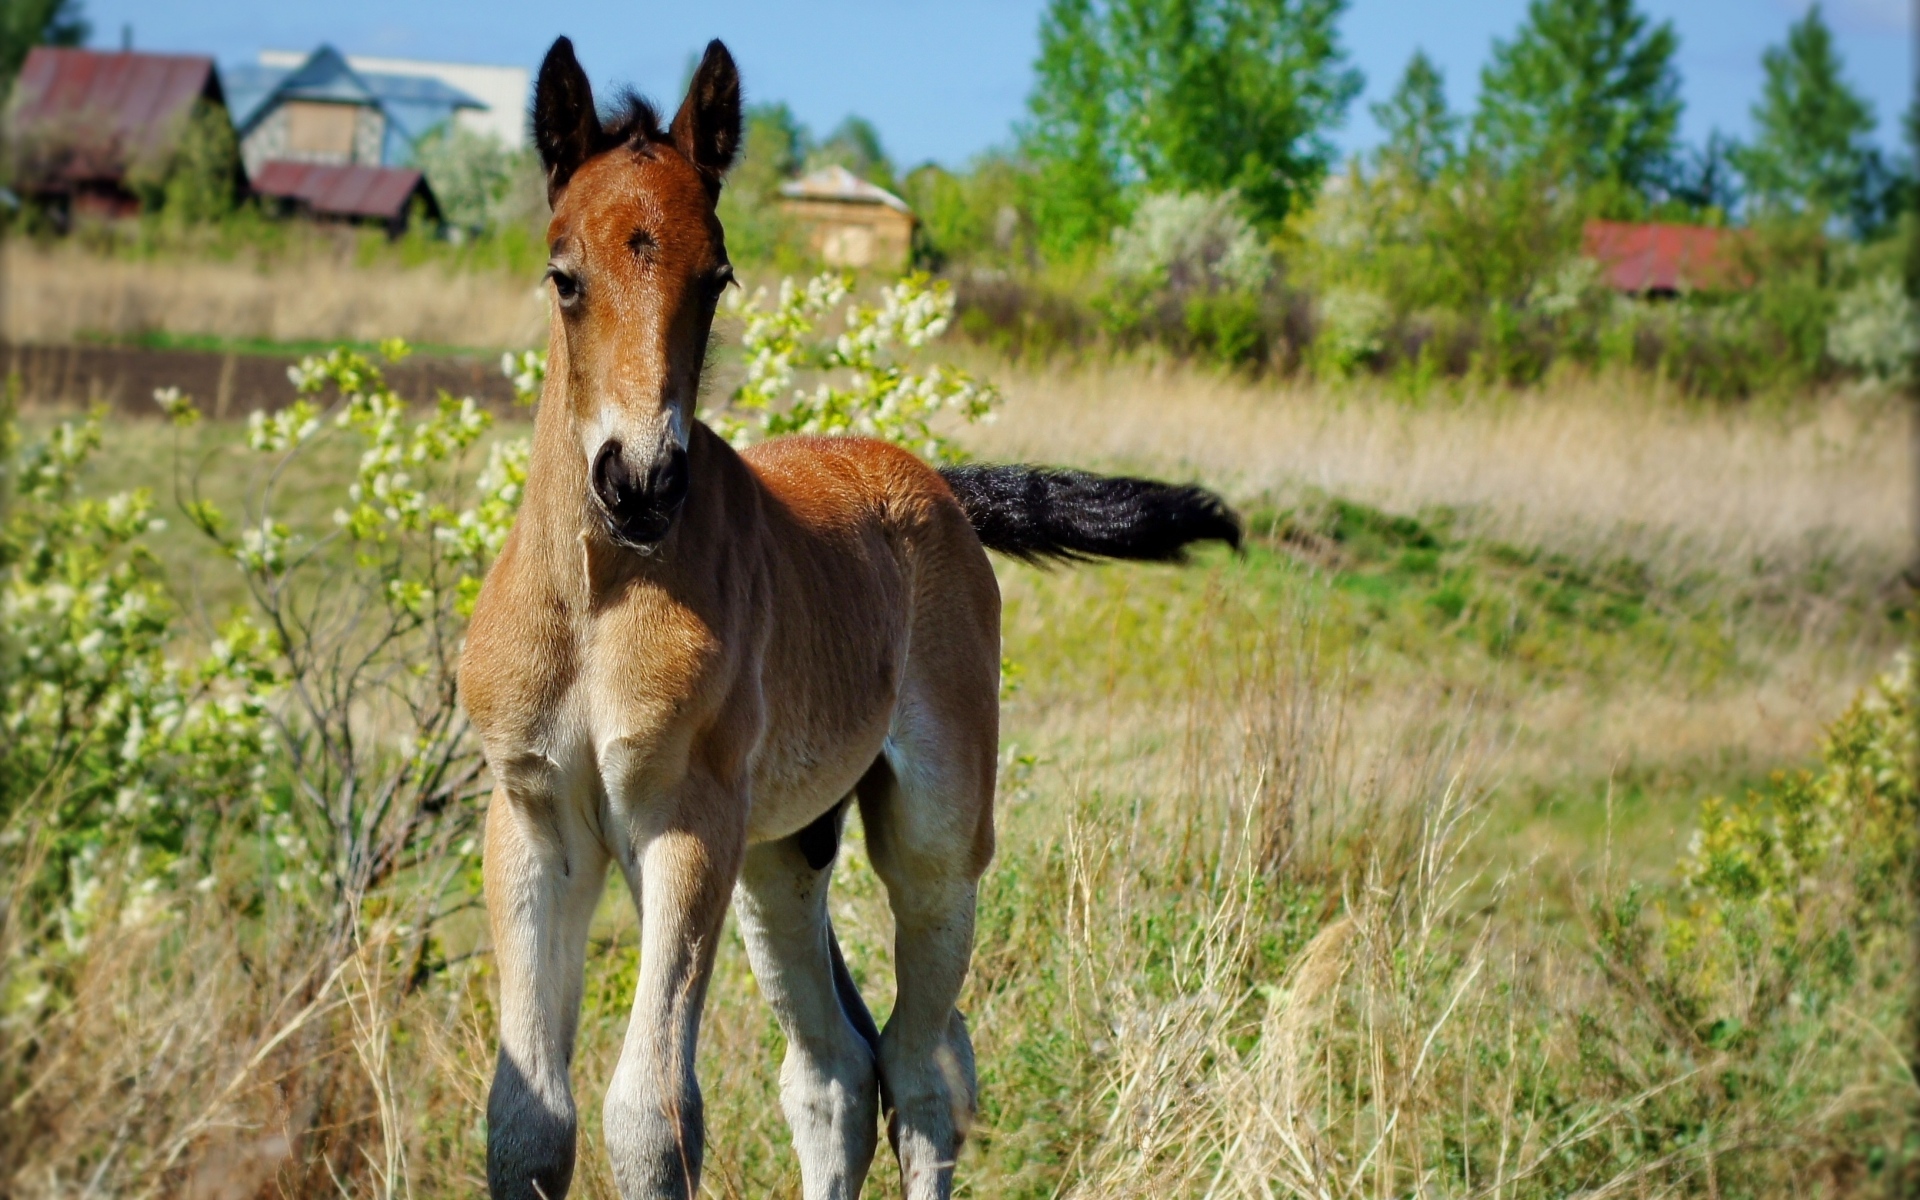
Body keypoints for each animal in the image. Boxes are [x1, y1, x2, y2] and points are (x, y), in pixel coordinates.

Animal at [458, 36, 1240, 1200]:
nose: (640, 483)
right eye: (565, 276)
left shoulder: (685, 821)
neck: (600, 599)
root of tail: (938, 483)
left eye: (717, 277)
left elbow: (650, 1118)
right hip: (781, 856)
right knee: (834, 1071)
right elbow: (525, 1123)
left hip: (933, 838)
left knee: (923, 1064)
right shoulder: (533, 821)